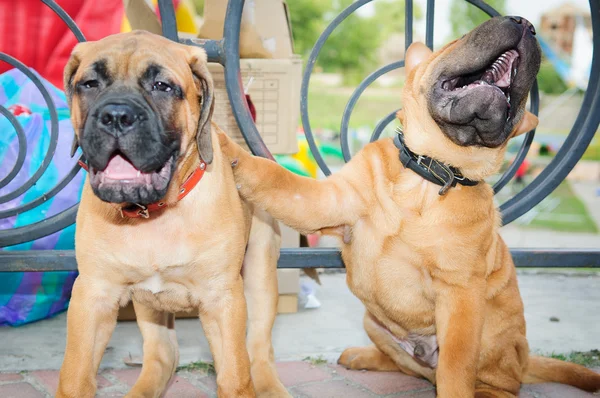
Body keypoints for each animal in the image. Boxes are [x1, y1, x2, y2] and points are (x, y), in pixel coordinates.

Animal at [56, 31, 290, 398]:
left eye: (162, 86)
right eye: (90, 83)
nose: (116, 116)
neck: (154, 213)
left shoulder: (223, 299)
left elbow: (236, 376)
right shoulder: (92, 295)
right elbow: (75, 376)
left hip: (260, 273)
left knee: (259, 350)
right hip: (149, 305)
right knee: (162, 354)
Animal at [218, 16, 600, 398]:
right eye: (458, 40)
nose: (526, 23)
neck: (428, 174)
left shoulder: (460, 292)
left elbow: (456, 368)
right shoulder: (326, 200)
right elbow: (275, 177)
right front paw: (228, 148)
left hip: (495, 344)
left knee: (494, 383)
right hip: (374, 323)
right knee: (407, 365)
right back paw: (363, 356)